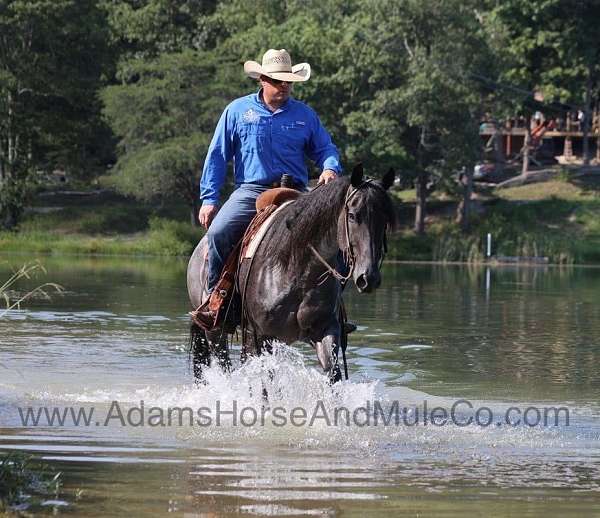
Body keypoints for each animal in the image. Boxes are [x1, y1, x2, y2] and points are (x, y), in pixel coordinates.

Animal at [185, 165, 396, 384]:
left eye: (385, 220)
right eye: (353, 215)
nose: (369, 277)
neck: (298, 271)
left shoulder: (325, 329)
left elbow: (333, 373)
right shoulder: (260, 335)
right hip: (216, 332)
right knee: (224, 364)